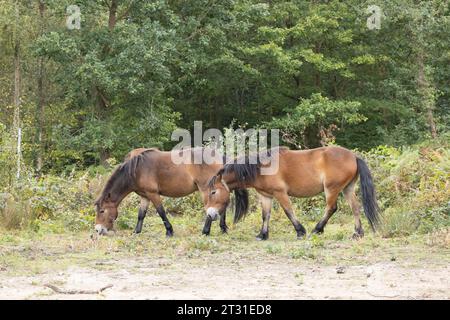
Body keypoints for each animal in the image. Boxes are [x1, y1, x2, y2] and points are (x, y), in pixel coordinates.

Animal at [94, 148, 248, 235]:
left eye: (102, 211)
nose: (98, 230)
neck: (137, 170)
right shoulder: (145, 196)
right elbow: (141, 214)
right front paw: (136, 232)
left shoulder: (153, 194)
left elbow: (161, 212)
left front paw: (169, 231)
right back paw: (223, 229)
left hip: (207, 189)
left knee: (211, 210)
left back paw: (206, 231)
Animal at [207, 146, 380, 239]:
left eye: (213, 192)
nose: (210, 214)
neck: (261, 168)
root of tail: (353, 156)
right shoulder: (266, 196)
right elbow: (265, 215)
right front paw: (262, 235)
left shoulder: (280, 193)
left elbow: (288, 211)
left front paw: (300, 231)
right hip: (347, 188)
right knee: (355, 208)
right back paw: (357, 233)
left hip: (332, 189)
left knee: (331, 208)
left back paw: (317, 229)